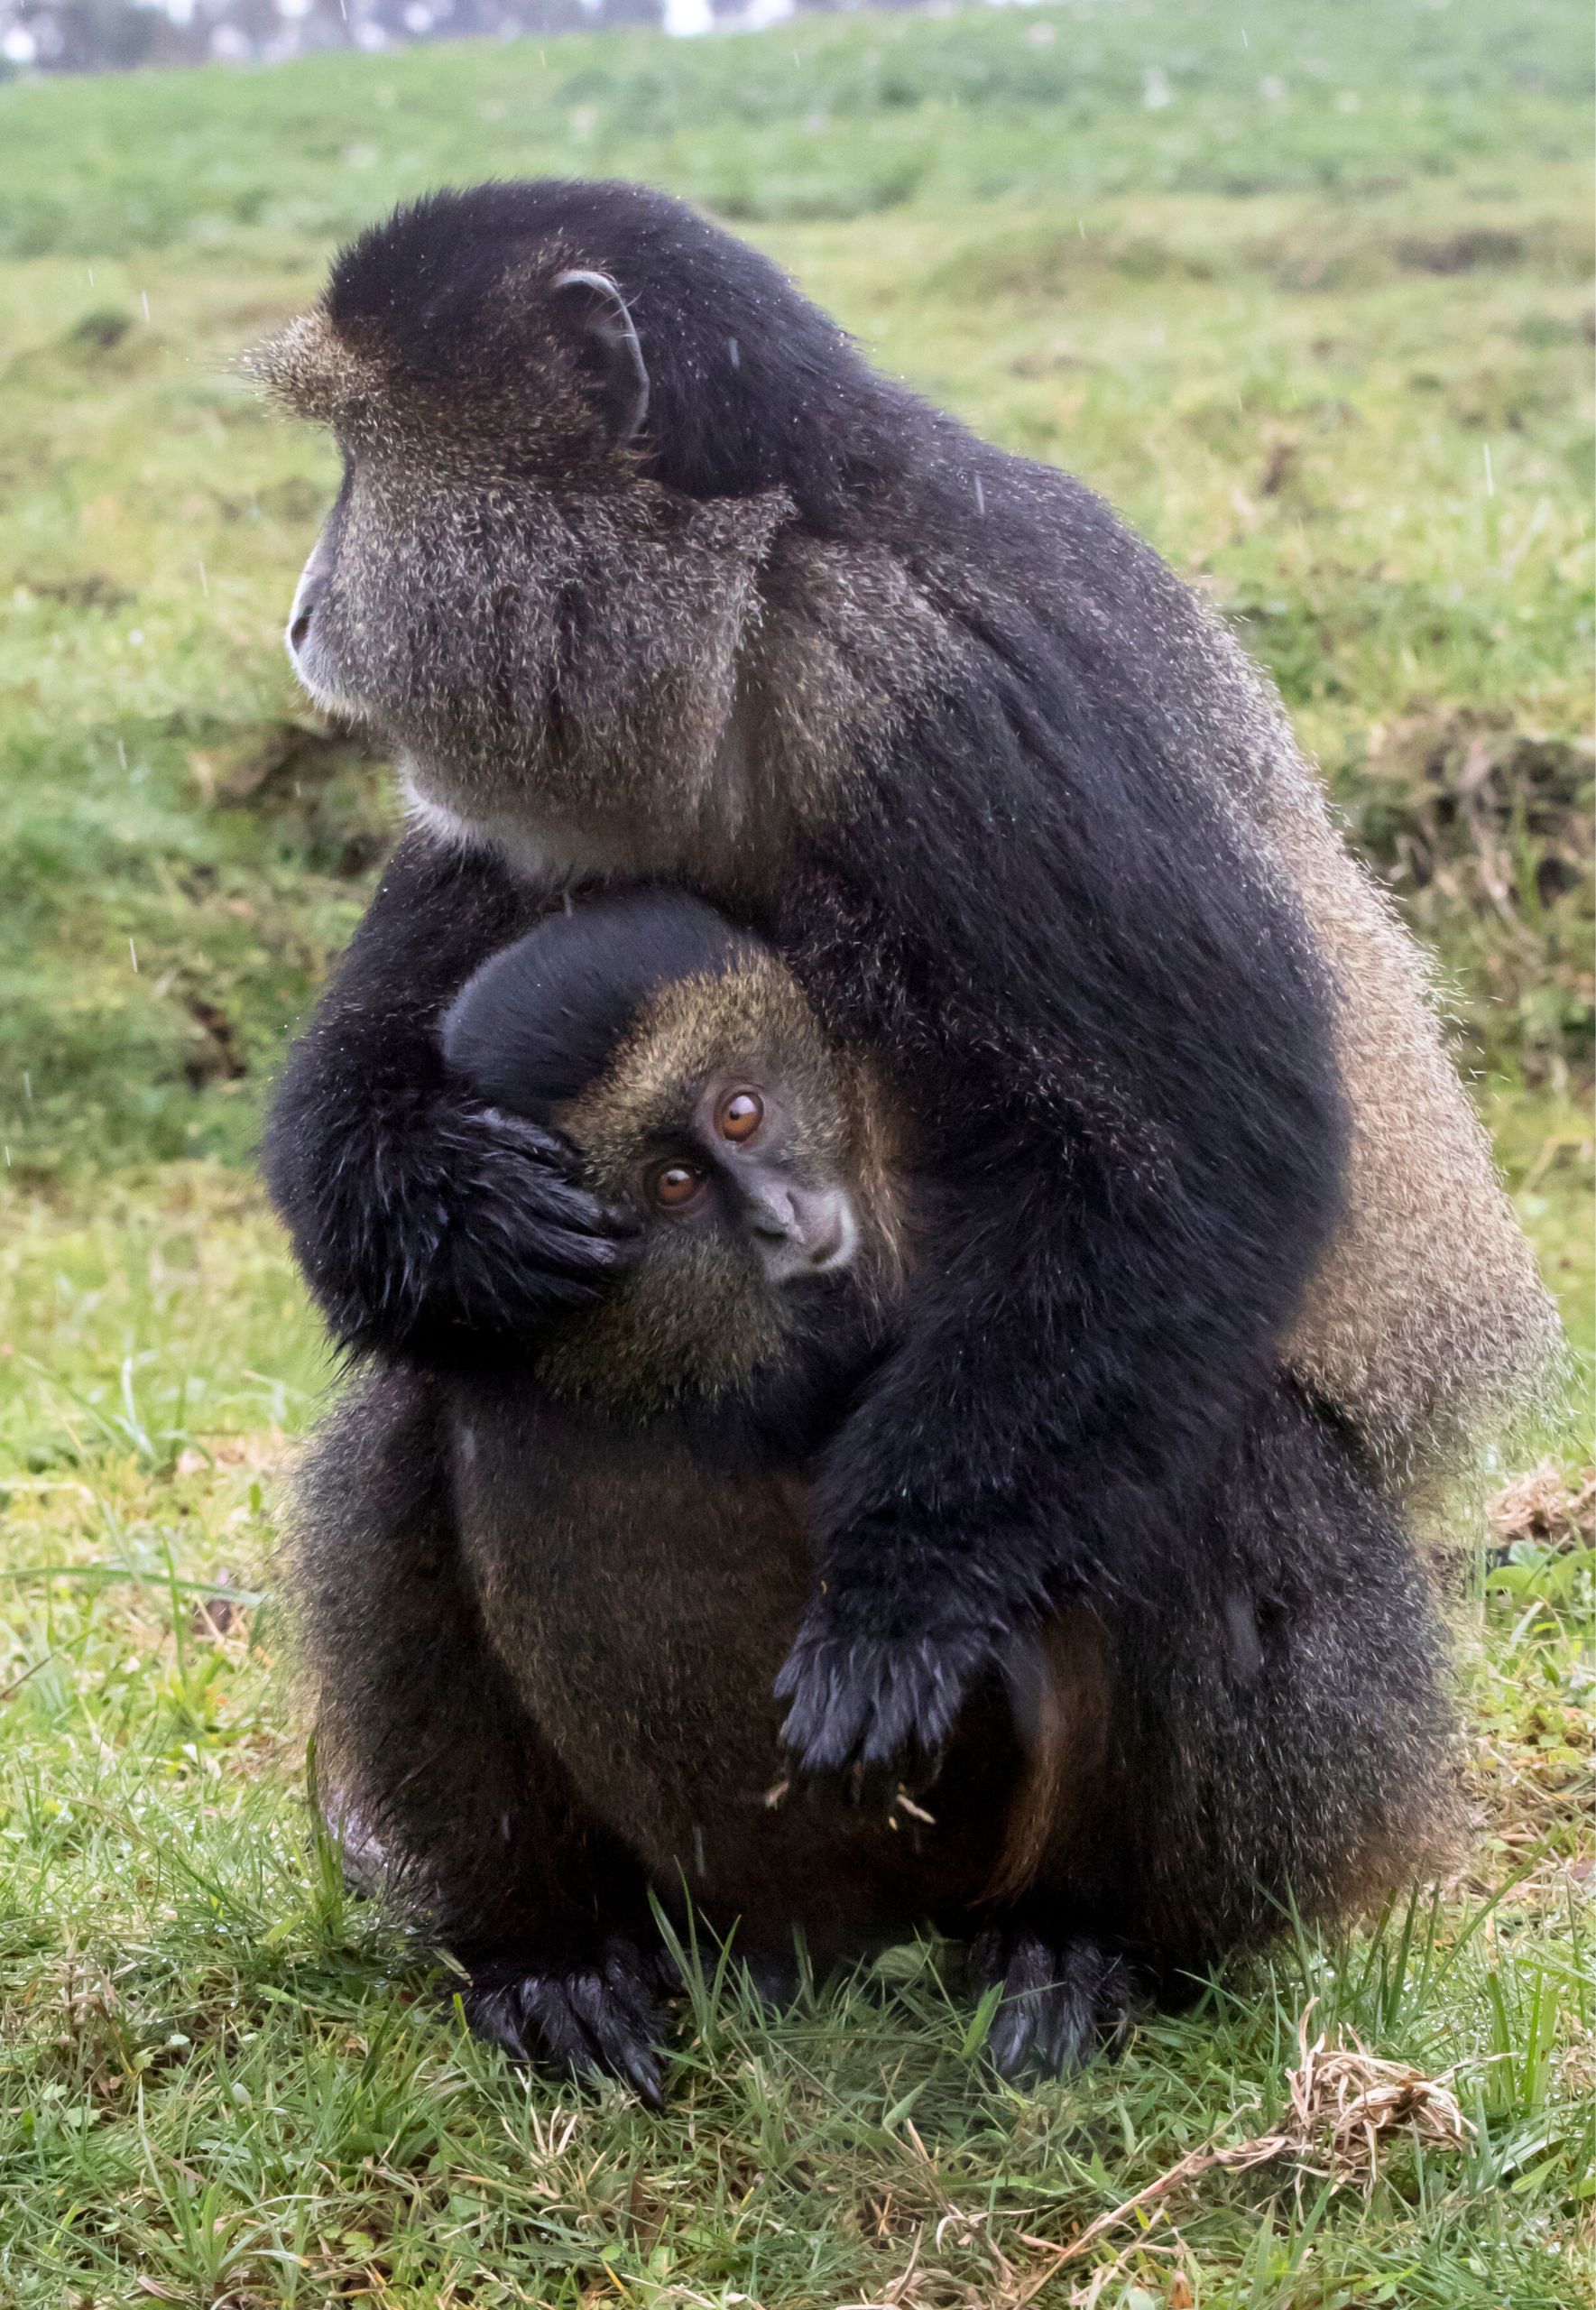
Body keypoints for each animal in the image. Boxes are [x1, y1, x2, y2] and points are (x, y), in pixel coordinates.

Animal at [252, 179, 1558, 1808]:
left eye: (359, 460)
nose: (302, 613)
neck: (758, 582)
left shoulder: (945, 692)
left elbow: (1206, 1160)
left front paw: (903, 1594)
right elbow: (374, 1062)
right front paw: (445, 1207)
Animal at [285, 888, 1459, 2096]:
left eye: (742, 1114)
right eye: (673, 1185)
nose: (775, 1215)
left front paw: (897, 1608)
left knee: (1211, 1443)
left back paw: (1083, 1950)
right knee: (447, 1399)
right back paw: (556, 1961)